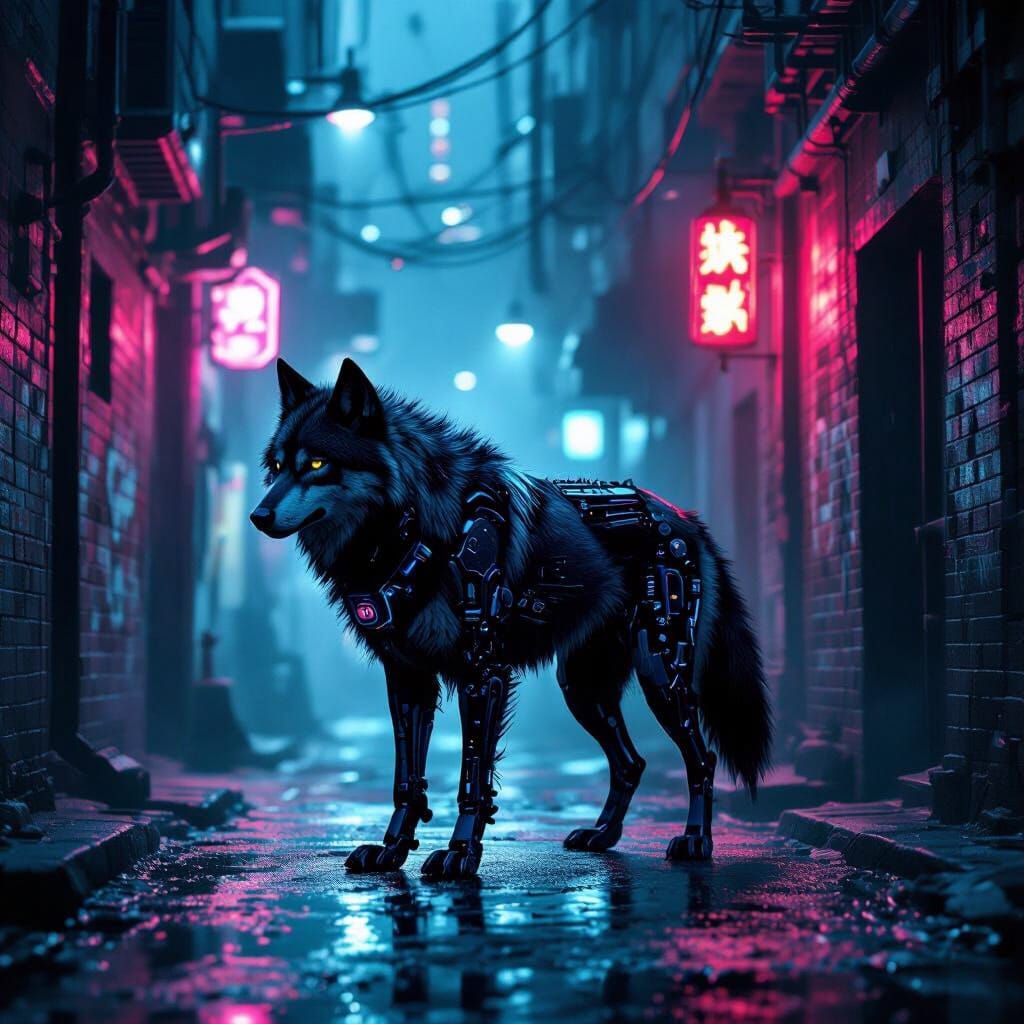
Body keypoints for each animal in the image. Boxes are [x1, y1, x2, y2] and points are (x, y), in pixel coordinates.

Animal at [251, 358, 771, 879]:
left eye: (316, 465)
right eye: (276, 468)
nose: (257, 516)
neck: (414, 529)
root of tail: (685, 516)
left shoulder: (482, 675)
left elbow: (472, 779)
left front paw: (460, 853)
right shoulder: (407, 678)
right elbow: (407, 780)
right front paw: (392, 849)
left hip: (660, 676)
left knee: (702, 760)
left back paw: (696, 840)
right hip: (583, 689)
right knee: (631, 763)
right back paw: (602, 835)